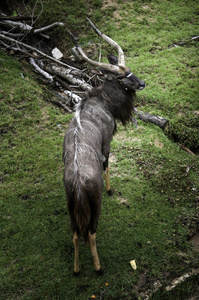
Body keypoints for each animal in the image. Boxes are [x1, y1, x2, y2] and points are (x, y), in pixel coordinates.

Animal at [63, 17, 145, 274]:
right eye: (120, 77)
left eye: (129, 70)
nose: (142, 83)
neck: (100, 101)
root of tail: (79, 186)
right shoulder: (107, 141)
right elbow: (107, 164)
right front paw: (111, 189)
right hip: (93, 207)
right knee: (90, 232)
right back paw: (99, 268)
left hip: (72, 209)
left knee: (75, 234)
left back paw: (77, 270)